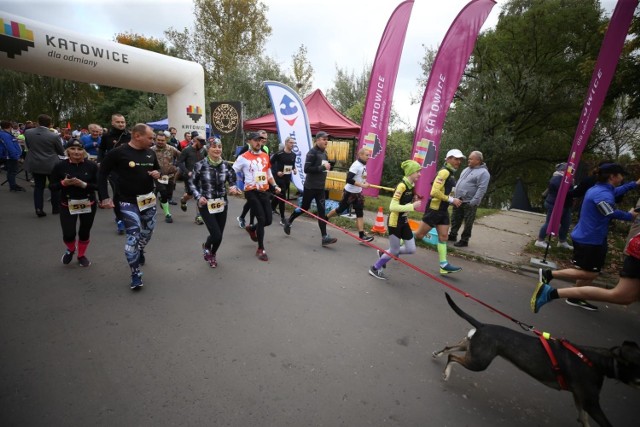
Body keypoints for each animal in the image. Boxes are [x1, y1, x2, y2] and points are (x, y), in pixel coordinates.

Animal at [432, 294, 636, 427]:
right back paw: (446, 373)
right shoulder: (591, 403)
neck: (594, 360)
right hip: (478, 362)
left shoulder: (580, 398)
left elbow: (583, 419)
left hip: (473, 350)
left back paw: (437, 355)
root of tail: (482, 325)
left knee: (450, 349)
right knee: (452, 356)